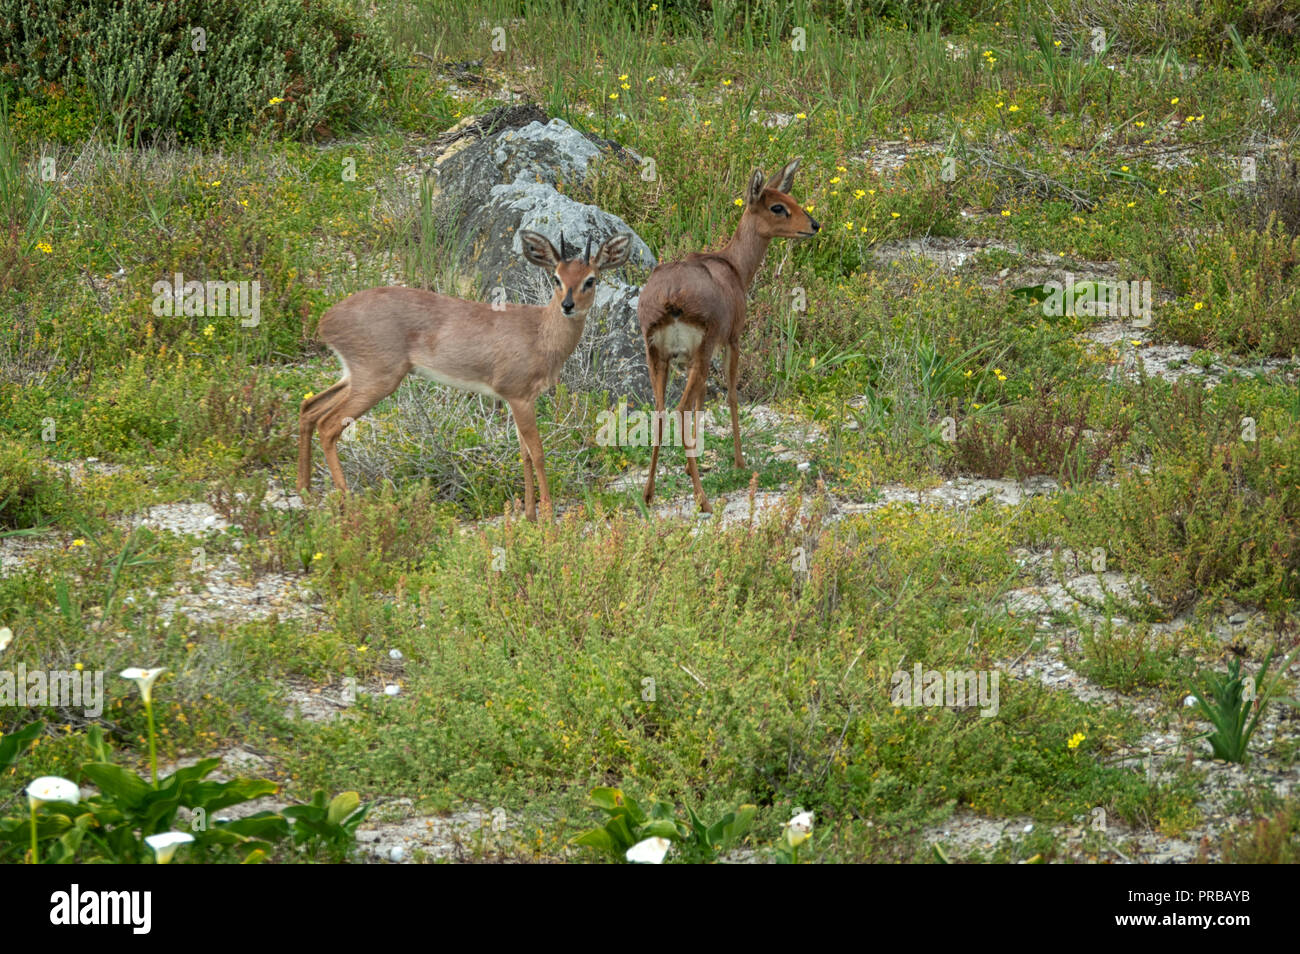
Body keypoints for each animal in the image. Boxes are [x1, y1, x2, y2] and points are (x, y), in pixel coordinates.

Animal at [299, 228, 634, 519]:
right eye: (556, 277)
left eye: (590, 279)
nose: (568, 305)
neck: (540, 334)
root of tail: (326, 321)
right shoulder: (518, 396)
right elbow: (537, 452)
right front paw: (548, 516)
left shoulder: (519, 400)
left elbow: (524, 452)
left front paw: (529, 514)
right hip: (376, 379)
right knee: (328, 425)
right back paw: (346, 505)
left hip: (354, 376)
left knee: (309, 407)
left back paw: (305, 494)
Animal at [642, 158, 821, 514]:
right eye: (777, 206)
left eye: (791, 198)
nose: (814, 225)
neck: (734, 267)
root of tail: (670, 299)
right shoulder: (732, 340)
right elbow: (732, 396)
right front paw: (739, 462)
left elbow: (701, 403)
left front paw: (692, 466)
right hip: (699, 351)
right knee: (679, 410)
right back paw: (703, 501)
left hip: (659, 357)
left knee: (660, 412)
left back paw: (648, 495)